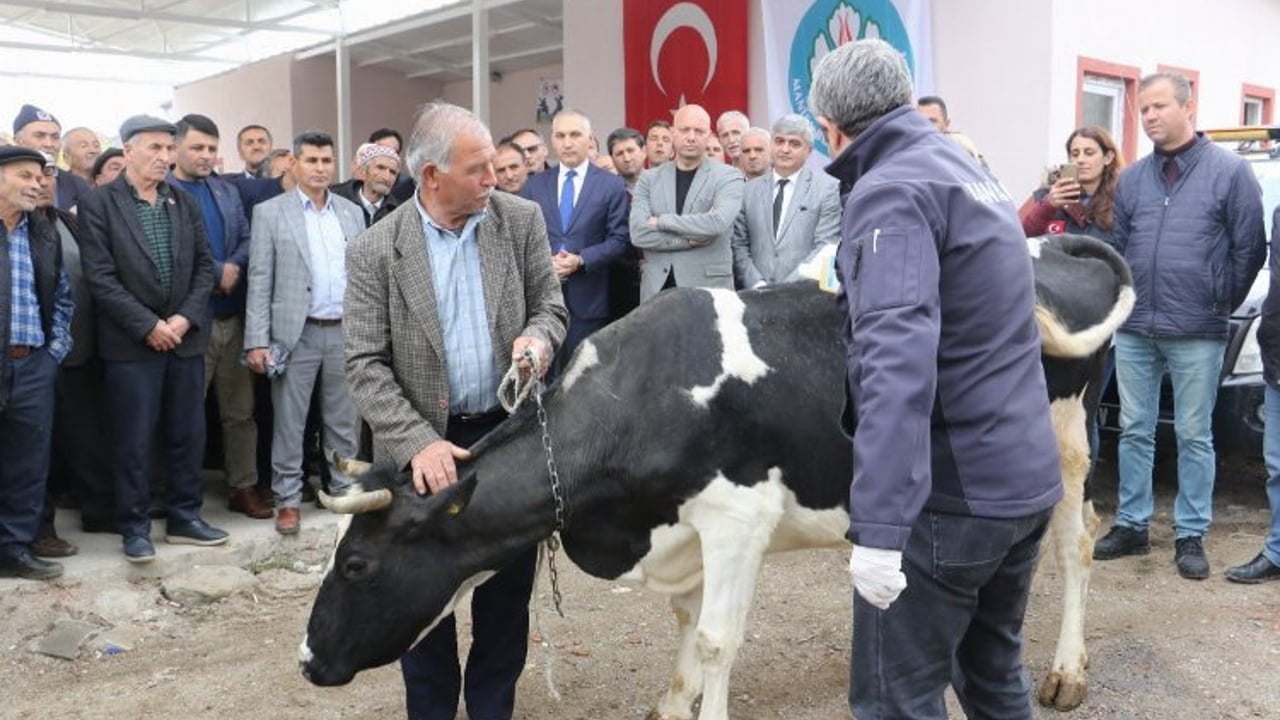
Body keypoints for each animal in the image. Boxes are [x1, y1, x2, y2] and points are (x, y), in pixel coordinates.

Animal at [304, 234, 1136, 712]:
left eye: (357, 564)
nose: (309, 660)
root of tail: (1050, 246)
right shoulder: (682, 533)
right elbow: (685, 627)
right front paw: (673, 704)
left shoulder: (738, 520)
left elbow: (714, 641)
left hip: (1068, 437)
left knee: (1074, 545)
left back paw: (1067, 672)